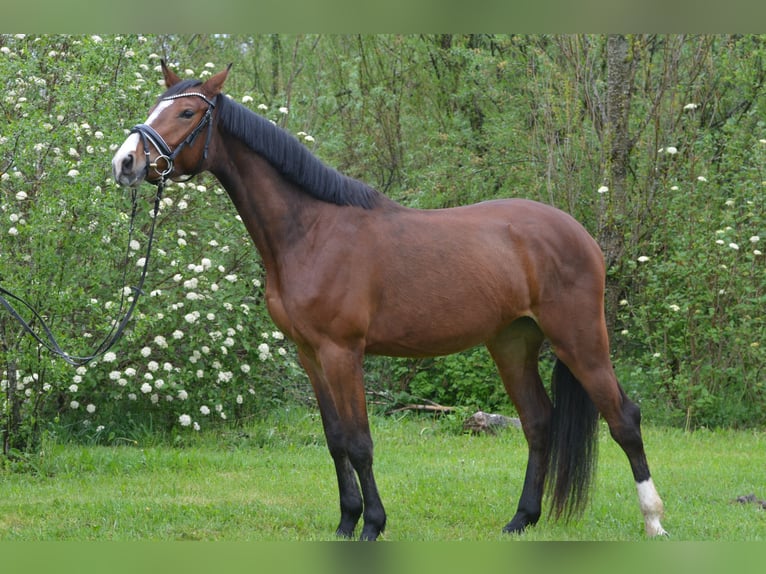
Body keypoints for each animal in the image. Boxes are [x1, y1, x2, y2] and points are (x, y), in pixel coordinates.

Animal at [111, 61, 667, 541]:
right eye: (157, 105)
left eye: (187, 113)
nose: (125, 162)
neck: (310, 232)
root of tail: (579, 234)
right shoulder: (310, 355)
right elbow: (335, 439)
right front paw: (345, 522)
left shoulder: (342, 352)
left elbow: (360, 443)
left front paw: (372, 525)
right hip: (512, 343)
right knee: (538, 421)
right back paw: (521, 520)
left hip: (579, 337)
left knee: (624, 418)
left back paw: (654, 520)